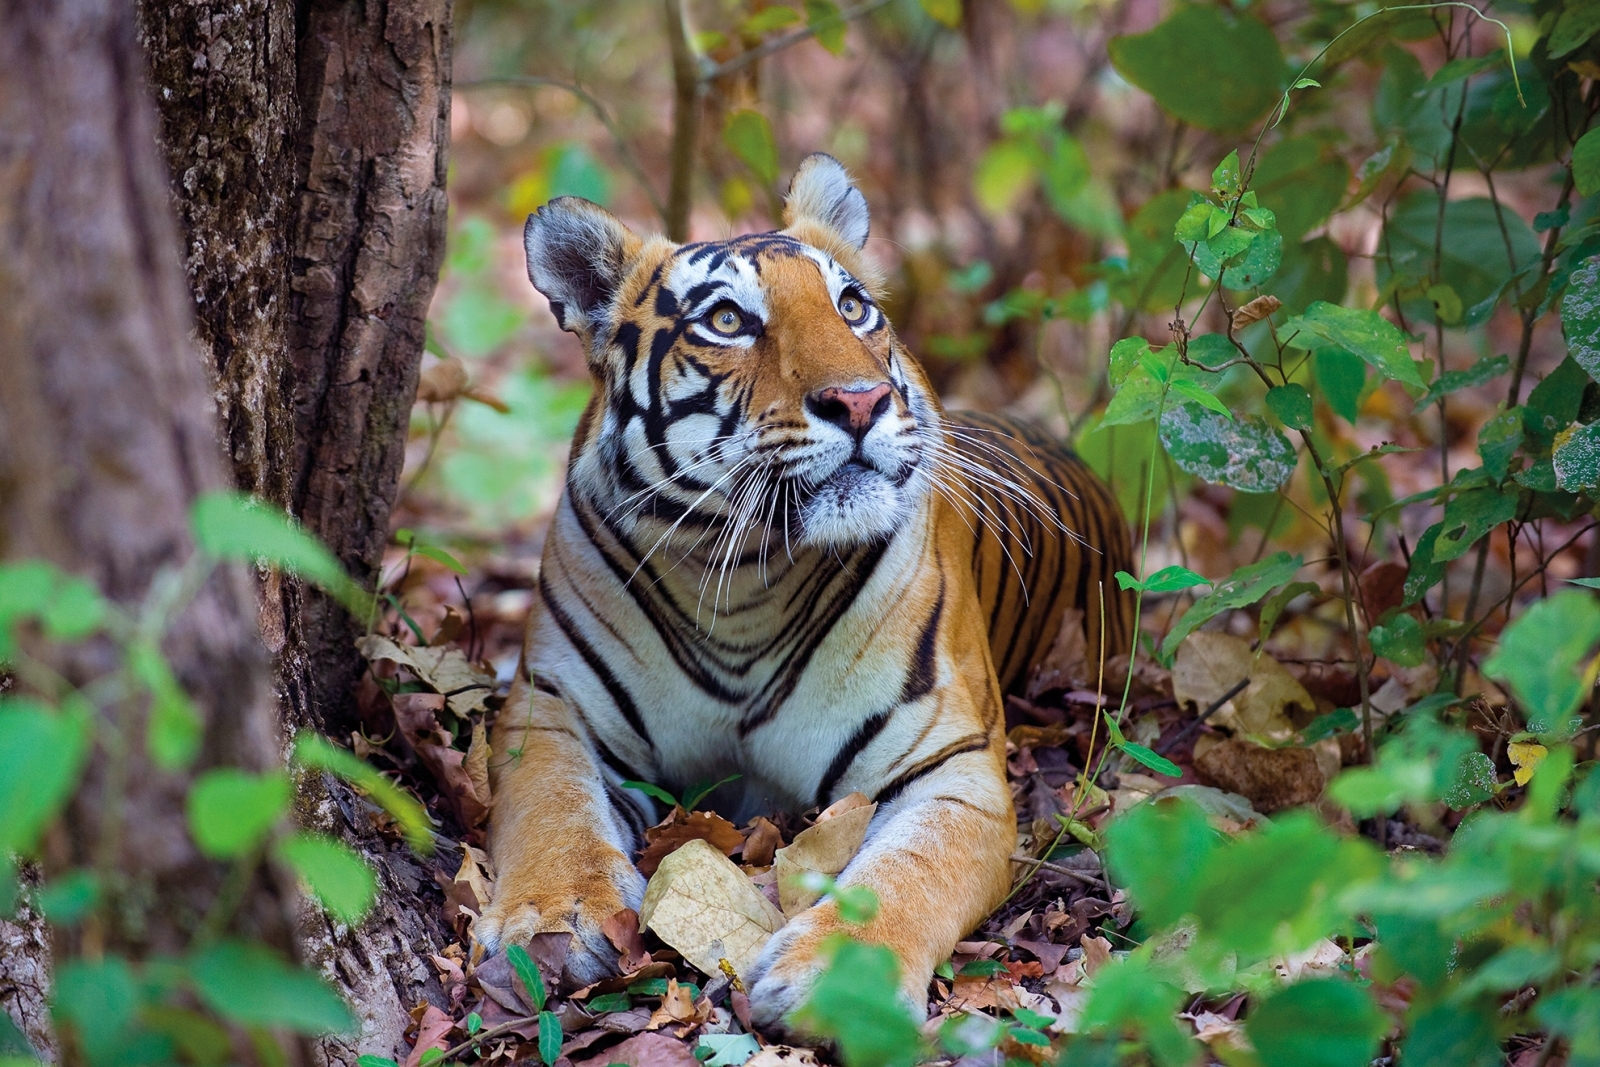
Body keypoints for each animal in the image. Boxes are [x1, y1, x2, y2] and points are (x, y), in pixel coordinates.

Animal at [473, 154, 1139, 1030]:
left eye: (852, 306)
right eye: (727, 320)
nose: (860, 400)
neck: (742, 579)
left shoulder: (951, 765)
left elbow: (908, 873)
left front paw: (843, 979)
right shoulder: (553, 706)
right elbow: (552, 810)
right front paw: (553, 917)